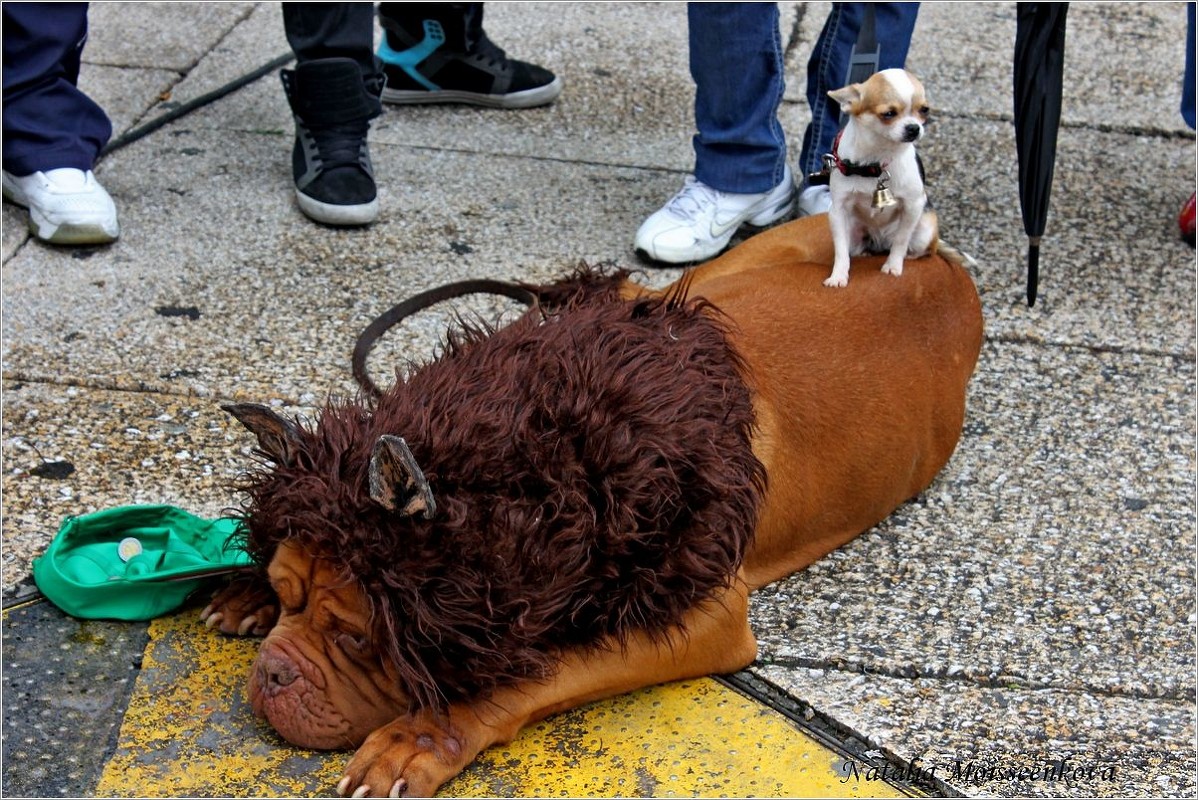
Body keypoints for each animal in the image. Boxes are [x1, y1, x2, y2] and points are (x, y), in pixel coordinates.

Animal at [206, 215, 982, 795]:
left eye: (358, 641)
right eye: (286, 594)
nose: (271, 677)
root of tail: (944, 268)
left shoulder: (696, 613)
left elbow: (537, 670)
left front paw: (421, 735)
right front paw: (245, 586)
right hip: (721, 274)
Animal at [824, 67, 934, 287]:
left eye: (924, 110)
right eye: (888, 113)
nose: (914, 127)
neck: (876, 161)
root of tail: (880, 241)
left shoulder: (913, 206)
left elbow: (901, 239)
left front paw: (893, 266)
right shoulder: (838, 211)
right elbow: (840, 250)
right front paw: (838, 275)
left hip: (925, 230)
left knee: (919, 249)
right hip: (855, 233)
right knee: (855, 249)